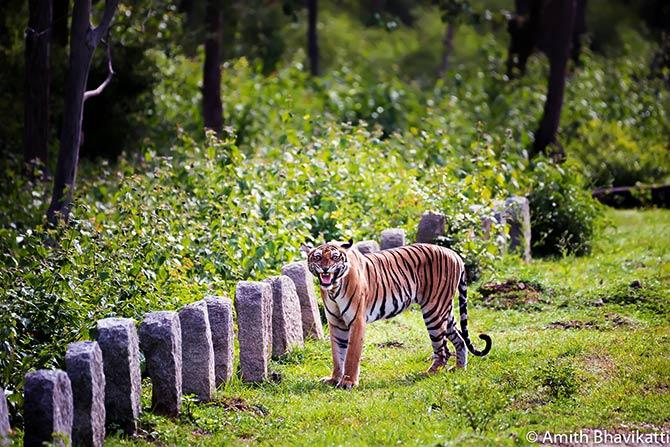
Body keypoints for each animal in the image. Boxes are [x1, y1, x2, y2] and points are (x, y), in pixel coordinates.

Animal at [304, 240, 494, 390]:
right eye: (317, 257)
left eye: (335, 257)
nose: (325, 269)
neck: (333, 288)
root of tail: (455, 254)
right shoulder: (336, 322)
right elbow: (338, 354)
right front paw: (334, 379)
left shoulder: (356, 321)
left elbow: (351, 354)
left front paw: (348, 382)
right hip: (444, 312)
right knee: (460, 340)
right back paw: (459, 369)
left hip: (434, 310)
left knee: (443, 350)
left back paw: (428, 373)